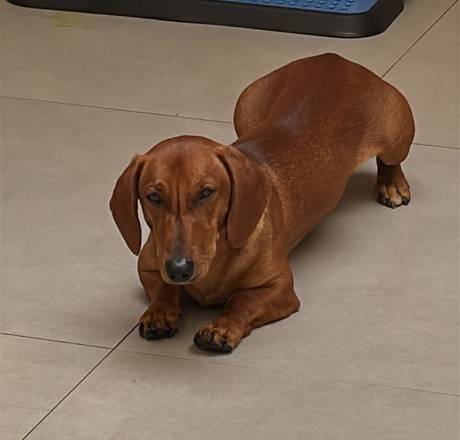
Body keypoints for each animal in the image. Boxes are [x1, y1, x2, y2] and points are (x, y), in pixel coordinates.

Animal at [110, 53, 414, 353]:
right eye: (153, 196)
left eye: (206, 192)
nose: (179, 269)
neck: (216, 255)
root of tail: (332, 58)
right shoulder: (149, 265)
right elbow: (163, 289)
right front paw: (160, 312)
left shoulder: (279, 287)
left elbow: (242, 301)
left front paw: (222, 327)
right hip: (243, 109)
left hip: (396, 134)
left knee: (390, 160)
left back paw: (392, 184)